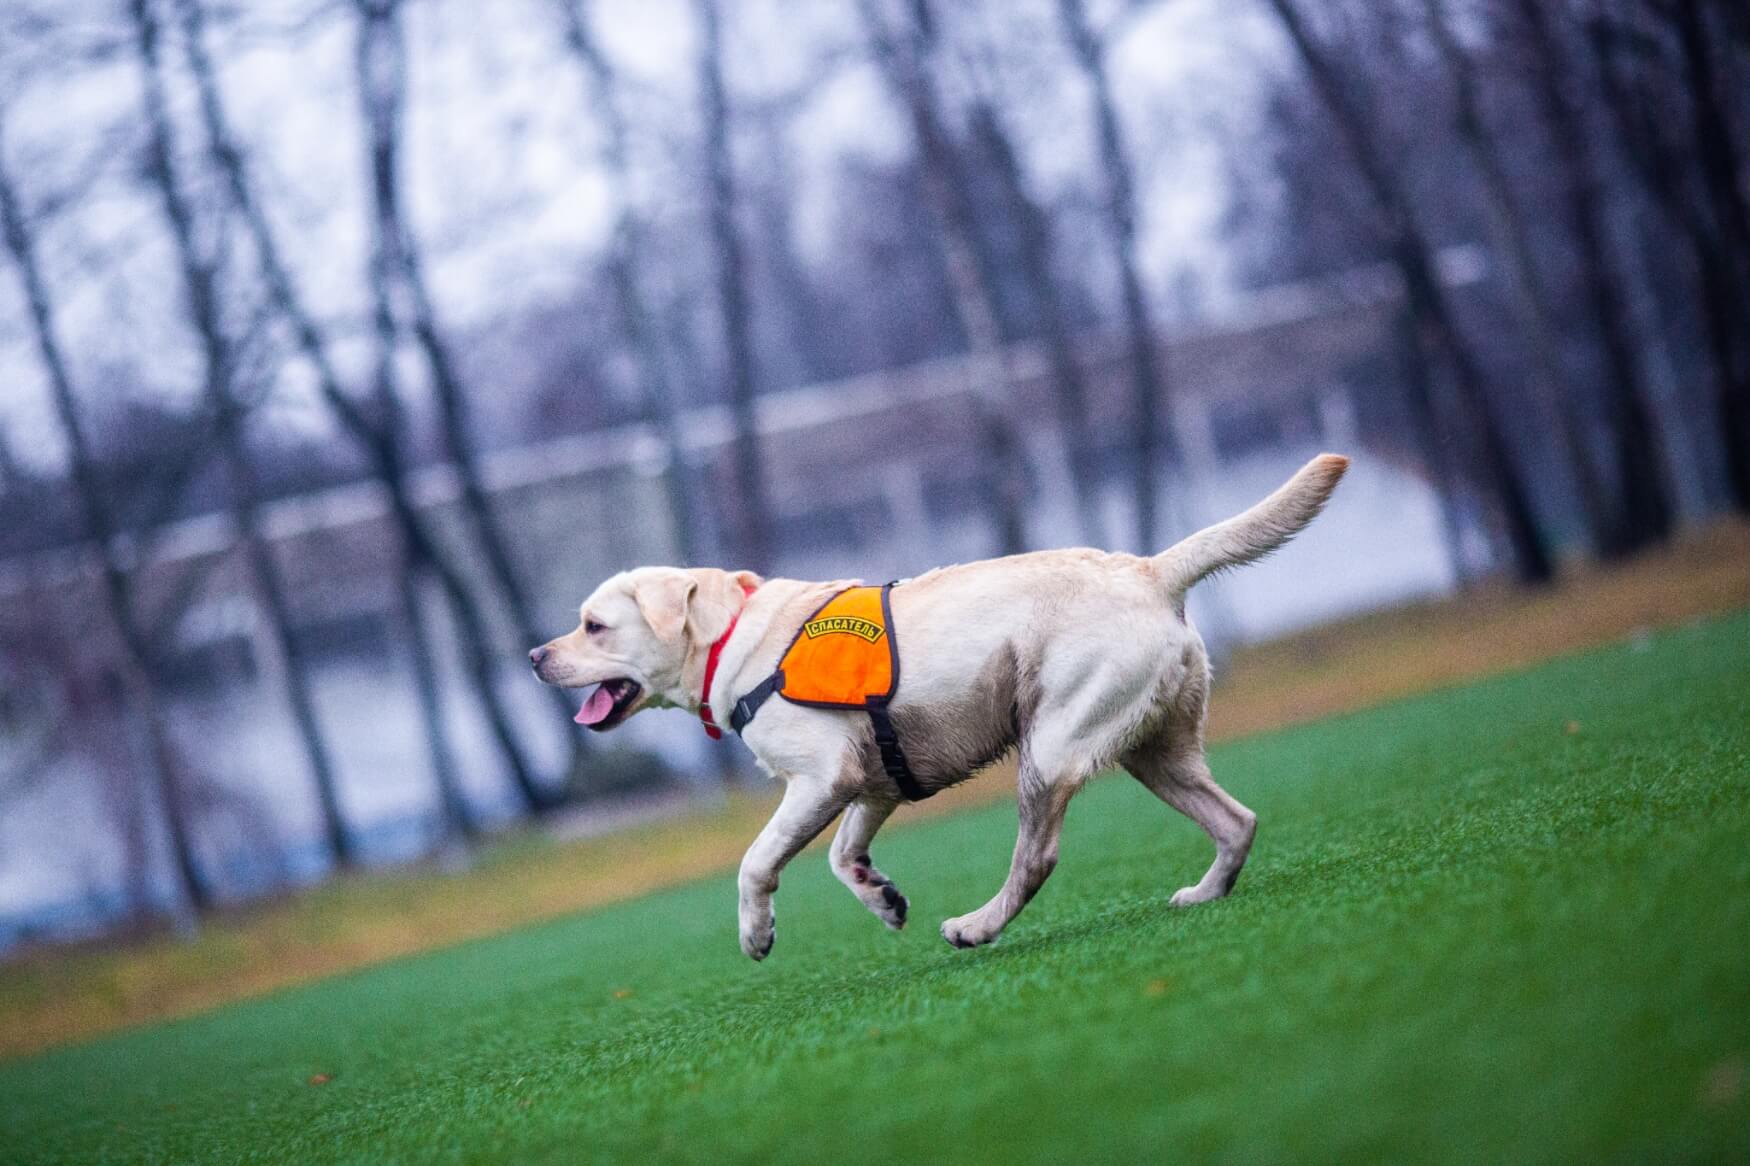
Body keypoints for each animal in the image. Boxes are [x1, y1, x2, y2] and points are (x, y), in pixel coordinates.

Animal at [532, 451, 1351, 952]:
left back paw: (979, 927)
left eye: (593, 624)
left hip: (1052, 748)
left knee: (1038, 856)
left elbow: (756, 861)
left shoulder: (820, 777)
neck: (733, 634)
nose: (536, 657)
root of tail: (1149, 569)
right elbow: (842, 855)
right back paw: (1206, 894)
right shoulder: (873, 779)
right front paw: (882, 897)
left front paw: (757, 933)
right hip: (1155, 750)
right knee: (1238, 821)